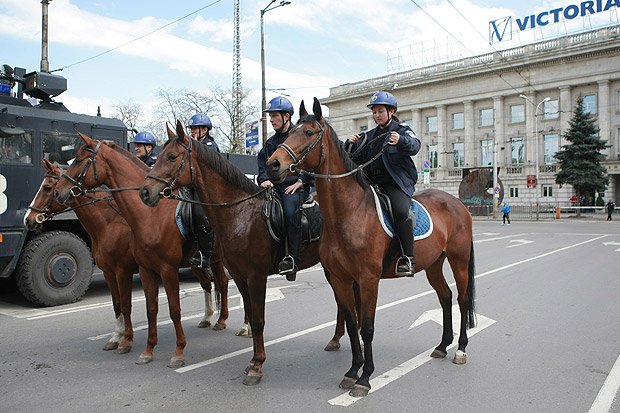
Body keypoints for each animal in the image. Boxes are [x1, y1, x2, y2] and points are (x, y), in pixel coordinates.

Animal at [52, 134, 230, 366]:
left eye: (80, 160)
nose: (59, 191)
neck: (149, 216)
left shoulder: (164, 270)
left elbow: (173, 310)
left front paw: (178, 351)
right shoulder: (145, 270)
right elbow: (149, 309)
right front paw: (147, 350)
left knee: (225, 283)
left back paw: (234, 323)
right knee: (213, 283)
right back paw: (212, 319)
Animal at [140, 120, 330, 384]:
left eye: (171, 156)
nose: (145, 192)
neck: (240, 213)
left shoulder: (256, 277)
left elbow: (258, 320)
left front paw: (257, 365)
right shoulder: (240, 276)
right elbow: (250, 312)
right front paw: (253, 359)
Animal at [266, 98, 474, 398]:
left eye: (308, 132)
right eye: (289, 130)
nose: (272, 164)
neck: (349, 214)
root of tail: (457, 203)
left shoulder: (368, 279)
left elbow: (367, 328)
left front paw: (365, 377)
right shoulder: (341, 278)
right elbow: (353, 324)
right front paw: (353, 371)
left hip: (459, 260)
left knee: (462, 299)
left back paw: (460, 349)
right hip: (434, 263)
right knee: (445, 297)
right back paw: (442, 346)